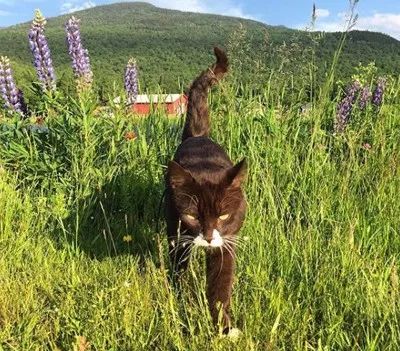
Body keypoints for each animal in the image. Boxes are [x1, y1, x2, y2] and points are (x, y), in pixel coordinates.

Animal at [166, 46, 247, 336]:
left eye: (223, 216)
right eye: (192, 216)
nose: (210, 238)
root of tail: (198, 135)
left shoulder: (228, 242)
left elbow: (221, 285)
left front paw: (224, 328)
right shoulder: (177, 232)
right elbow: (178, 269)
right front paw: (180, 303)